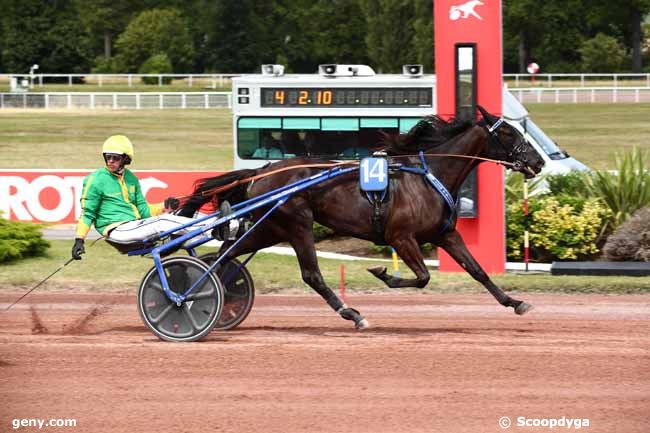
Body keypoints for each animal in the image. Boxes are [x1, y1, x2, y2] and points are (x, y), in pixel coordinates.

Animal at [176, 106, 540, 330]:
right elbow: (423, 277)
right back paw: (352, 314)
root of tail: (261, 171)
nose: (537, 162)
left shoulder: (445, 234)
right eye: (509, 134)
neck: (428, 175)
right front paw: (383, 273)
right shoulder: (400, 237)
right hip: (297, 224)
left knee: (228, 255)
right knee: (312, 275)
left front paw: (516, 302)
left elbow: (477, 270)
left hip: (271, 227)